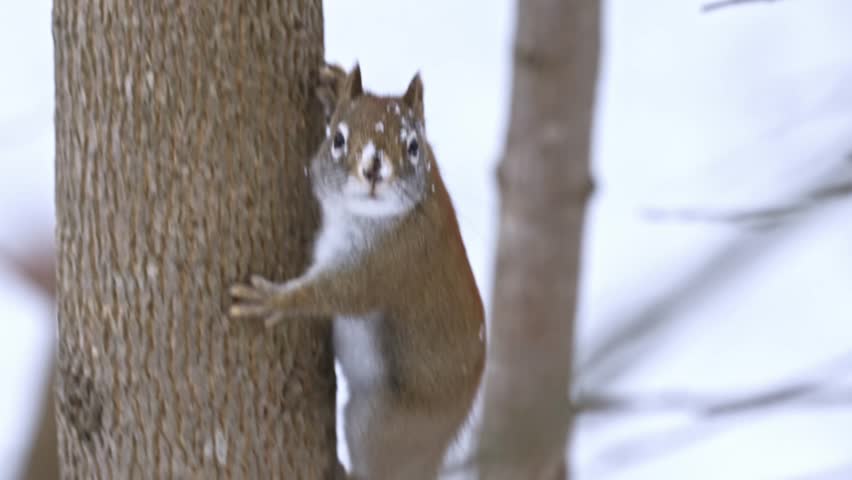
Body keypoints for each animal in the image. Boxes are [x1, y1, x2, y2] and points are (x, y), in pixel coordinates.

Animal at [229, 63, 485, 480]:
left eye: (412, 147)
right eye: (337, 139)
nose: (373, 169)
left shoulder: (391, 265)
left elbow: (340, 293)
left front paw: (273, 299)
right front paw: (335, 82)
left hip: (379, 423)